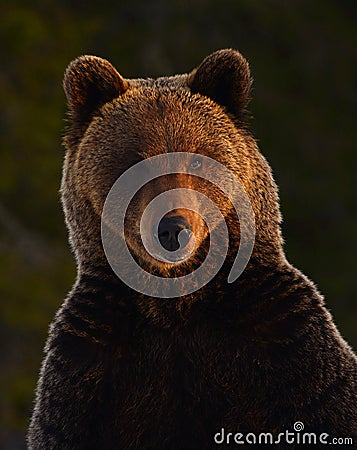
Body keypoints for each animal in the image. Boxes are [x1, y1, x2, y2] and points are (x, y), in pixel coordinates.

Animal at [27, 49, 354, 450]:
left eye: (197, 157)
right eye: (135, 160)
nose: (172, 228)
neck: (176, 298)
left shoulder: (287, 350)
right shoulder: (89, 374)